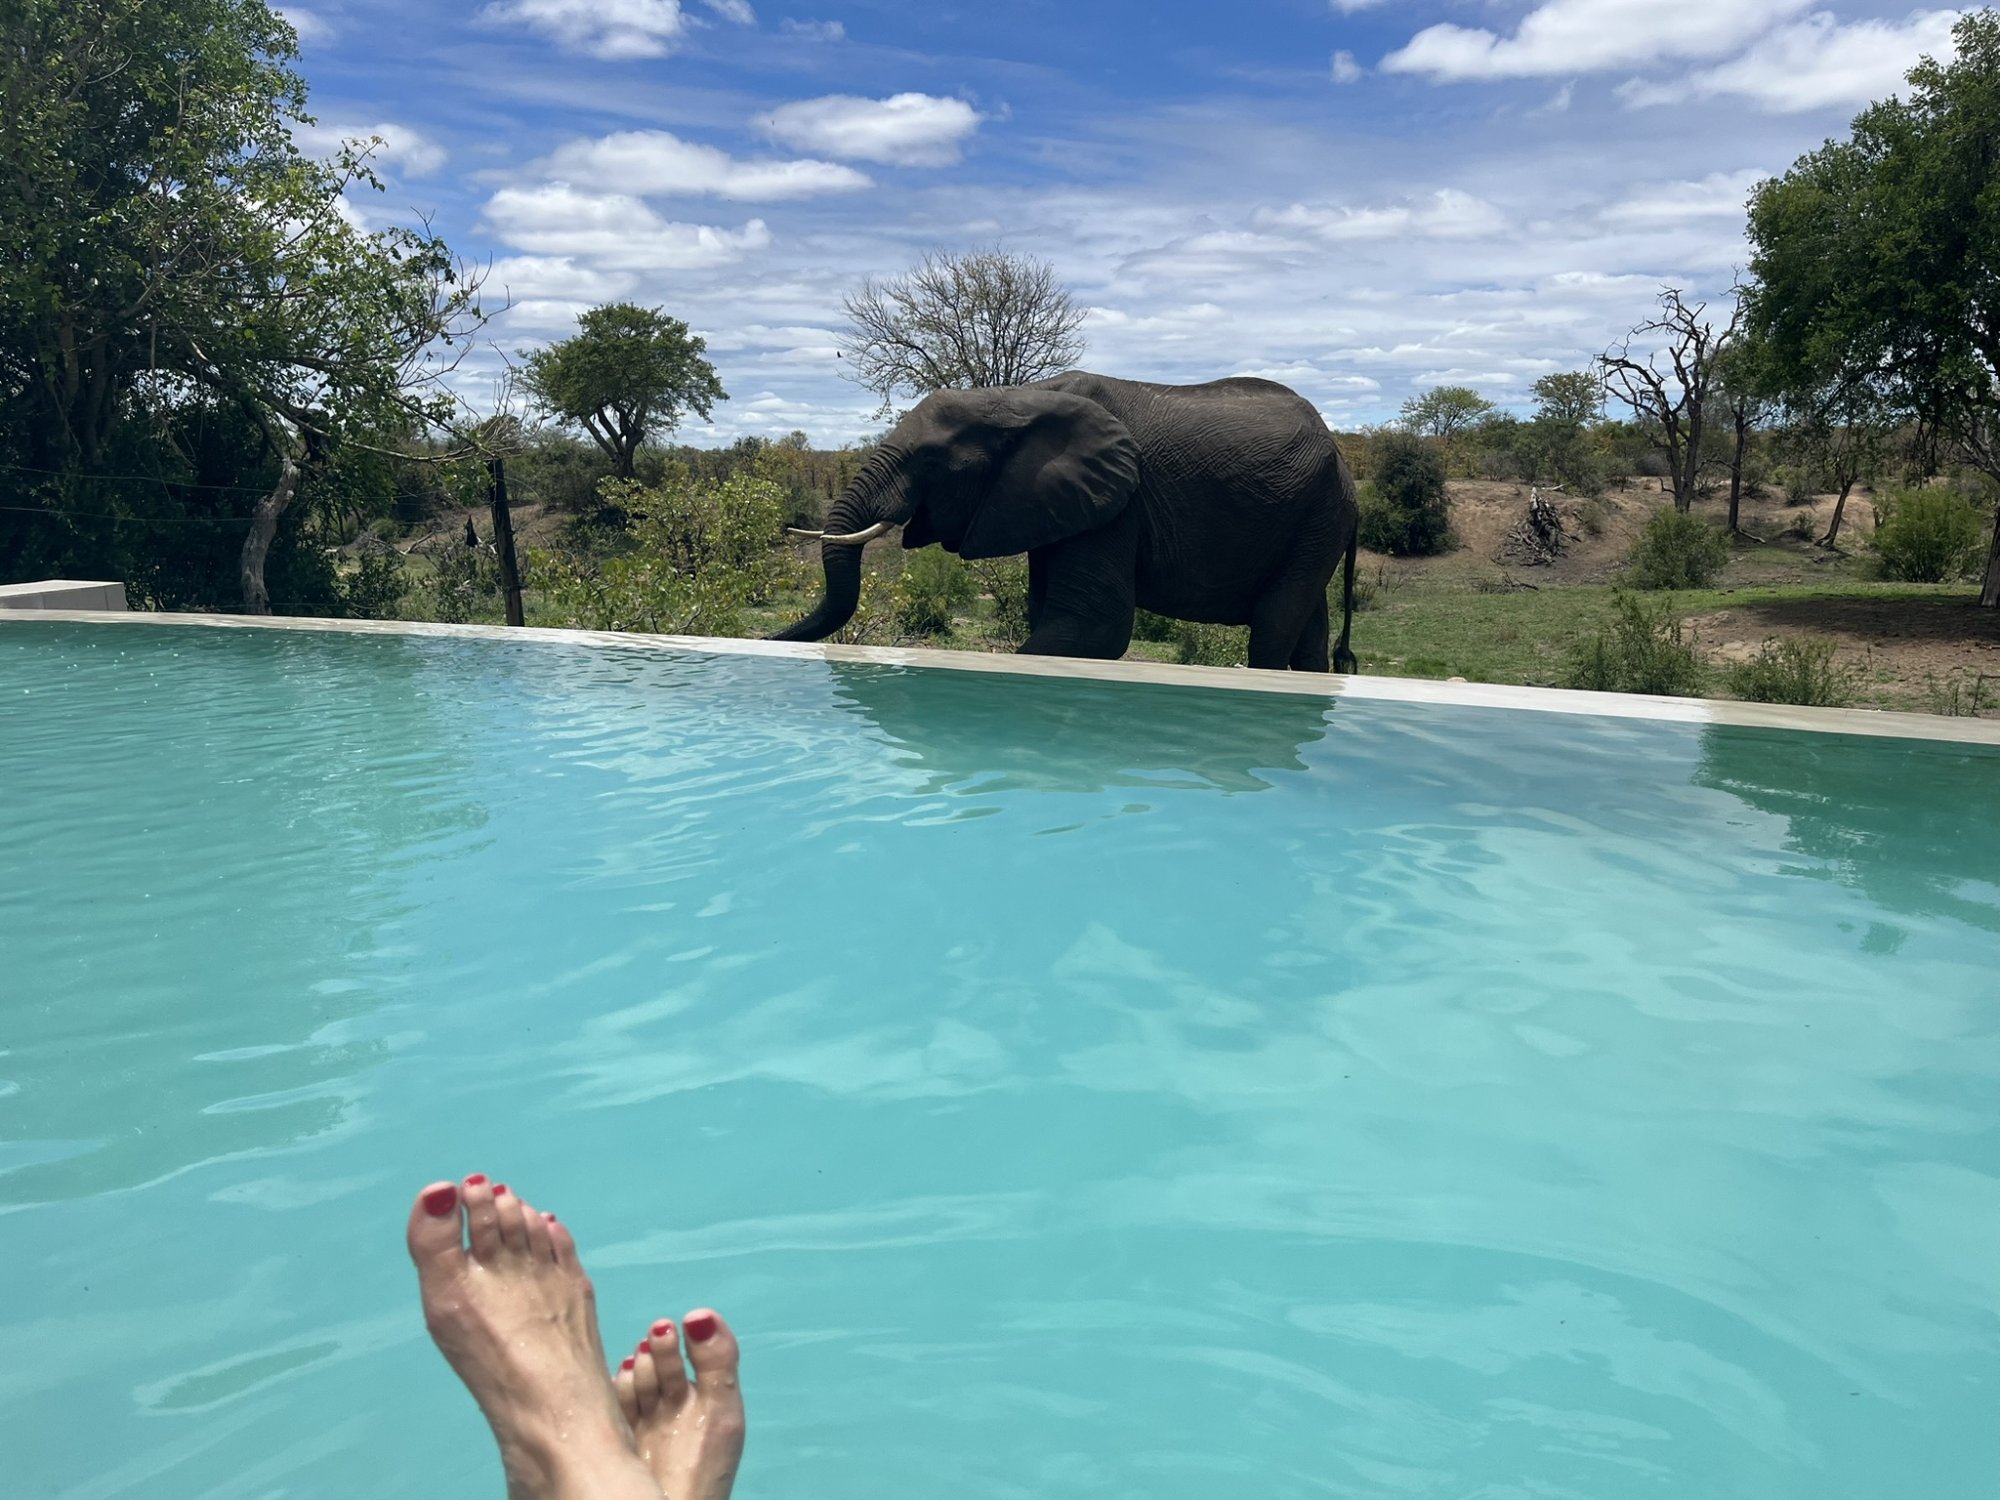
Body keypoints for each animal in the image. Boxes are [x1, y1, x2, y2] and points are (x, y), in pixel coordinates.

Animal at [773, 371, 1361, 671]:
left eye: (933, 462)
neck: (1012, 398)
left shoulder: (1121, 502)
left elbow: (1096, 628)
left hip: (1320, 512)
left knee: (1274, 630)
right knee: (1307, 630)